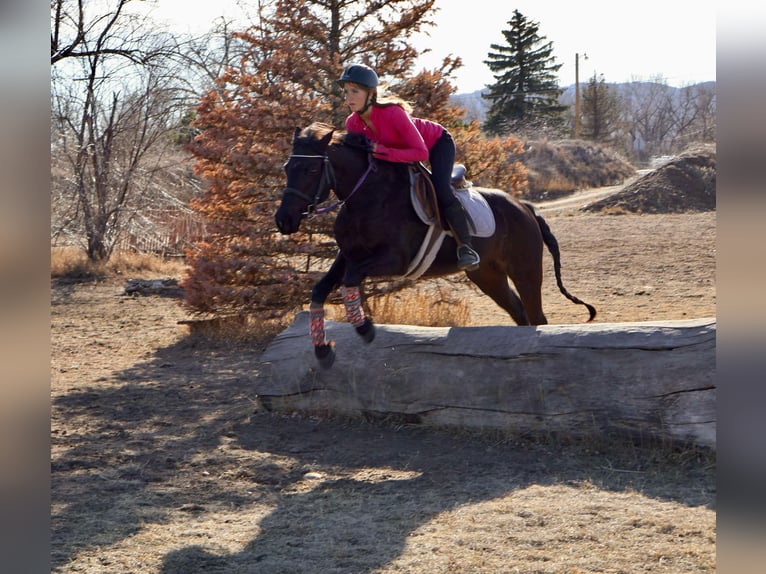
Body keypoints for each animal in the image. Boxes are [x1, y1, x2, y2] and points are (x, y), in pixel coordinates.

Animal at [275, 122, 596, 368]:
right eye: (288, 167)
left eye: (311, 170)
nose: (284, 220)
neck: (366, 196)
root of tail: (526, 207)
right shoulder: (348, 254)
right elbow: (321, 288)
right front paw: (323, 350)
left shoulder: (395, 260)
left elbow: (352, 278)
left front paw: (365, 329)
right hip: (487, 276)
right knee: (520, 313)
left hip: (525, 270)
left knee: (537, 316)